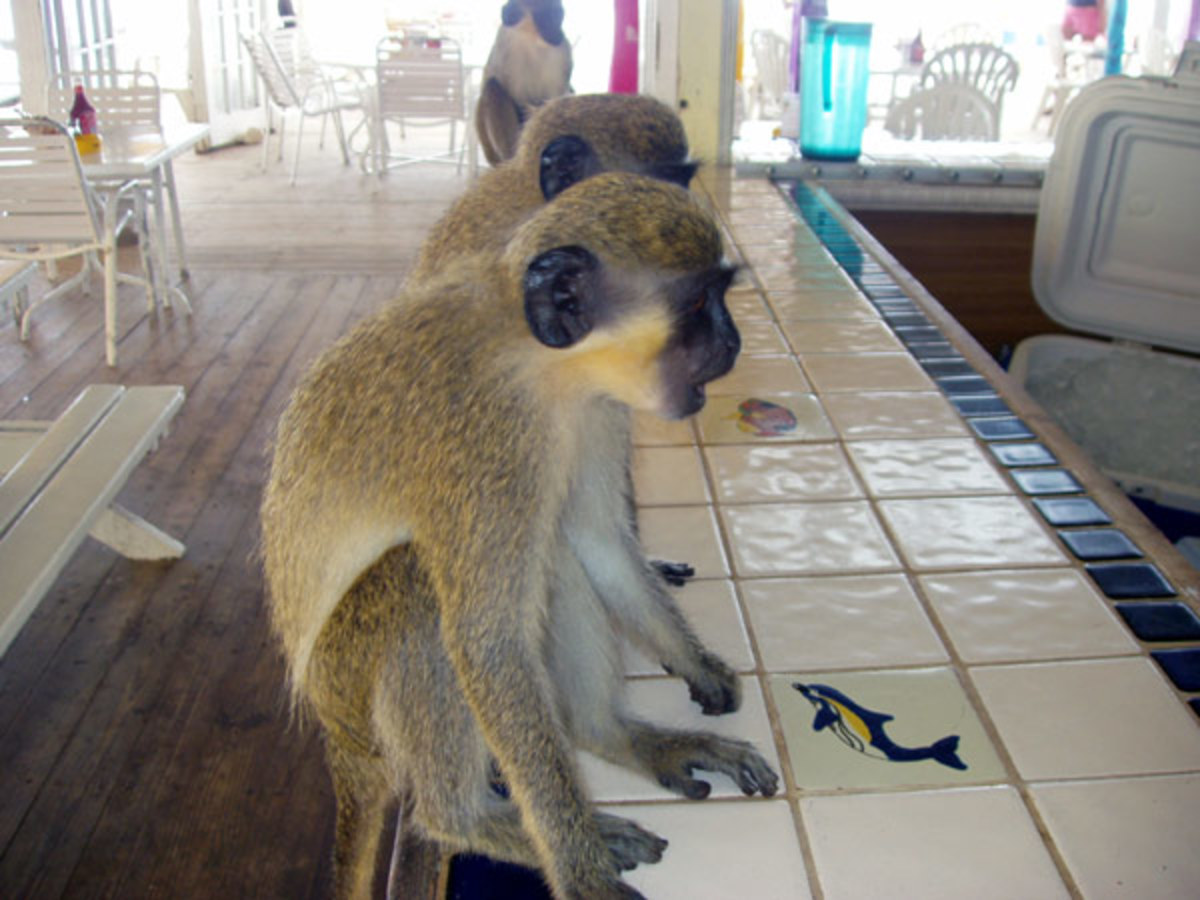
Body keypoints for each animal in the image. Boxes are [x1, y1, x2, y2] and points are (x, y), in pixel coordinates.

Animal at [261, 173, 779, 899]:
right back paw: (466, 820)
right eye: (701, 302)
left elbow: (598, 541)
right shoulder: (490, 441)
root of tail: (336, 736)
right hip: (348, 679)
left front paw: (694, 662)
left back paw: (612, 734)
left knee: (555, 550)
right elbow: (489, 644)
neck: (539, 363)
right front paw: (581, 873)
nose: (734, 343)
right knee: (420, 582)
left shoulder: (596, 409)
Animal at [476, 0, 573, 165]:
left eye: (559, 17)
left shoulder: (562, 51)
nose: (559, 33)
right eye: (549, 18)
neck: (531, 39)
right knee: (492, 87)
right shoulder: (506, 43)